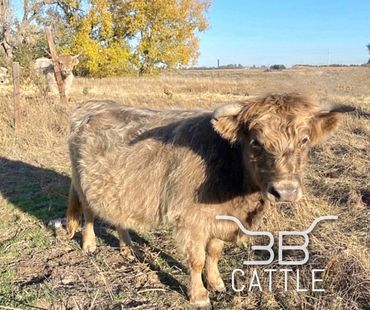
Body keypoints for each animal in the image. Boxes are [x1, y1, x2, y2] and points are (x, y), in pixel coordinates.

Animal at [66, 93, 352, 306]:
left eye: (304, 140)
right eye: (256, 142)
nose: (286, 191)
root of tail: (90, 105)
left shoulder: (221, 218)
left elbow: (213, 253)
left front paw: (216, 283)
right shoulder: (190, 220)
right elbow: (196, 259)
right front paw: (199, 295)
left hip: (120, 189)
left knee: (119, 217)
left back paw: (129, 249)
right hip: (83, 183)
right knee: (88, 213)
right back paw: (90, 244)